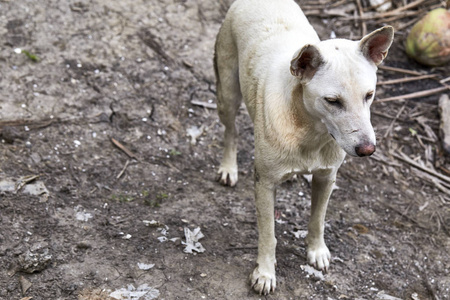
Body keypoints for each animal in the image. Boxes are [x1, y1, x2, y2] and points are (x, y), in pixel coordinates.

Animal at [213, 0, 392, 296]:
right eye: (332, 101)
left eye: (370, 95)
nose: (367, 149)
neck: (309, 130)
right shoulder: (264, 184)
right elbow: (268, 234)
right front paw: (265, 272)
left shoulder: (326, 178)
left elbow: (317, 219)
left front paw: (316, 251)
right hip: (226, 93)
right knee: (231, 131)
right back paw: (229, 167)